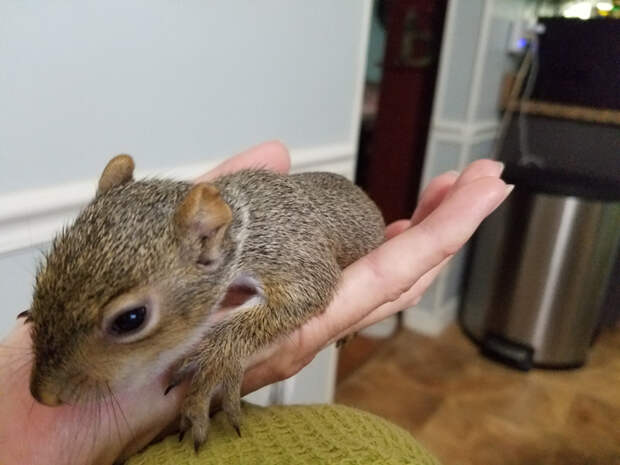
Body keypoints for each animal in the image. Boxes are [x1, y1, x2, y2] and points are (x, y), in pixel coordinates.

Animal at [26, 155, 386, 450]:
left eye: (131, 319)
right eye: (42, 278)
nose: (42, 396)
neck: (239, 232)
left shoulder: (291, 253)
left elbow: (309, 290)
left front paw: (215, 358)